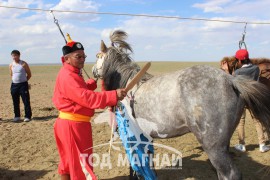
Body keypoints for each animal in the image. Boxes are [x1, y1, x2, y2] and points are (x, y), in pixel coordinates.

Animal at [92, 30, 270, 179]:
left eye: (98, 55)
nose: (93, 70)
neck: (129, 85)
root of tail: (231, 80)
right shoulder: (145, 136)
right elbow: (148, 161)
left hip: (214, 146)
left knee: (230, 173)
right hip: (223, 144)